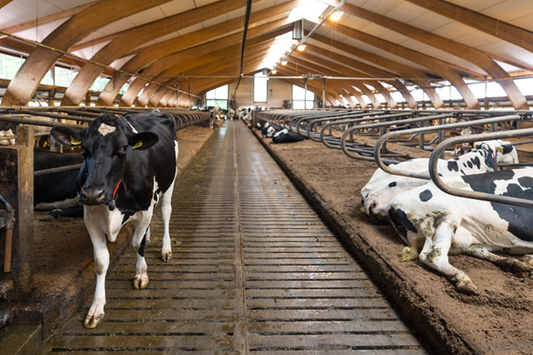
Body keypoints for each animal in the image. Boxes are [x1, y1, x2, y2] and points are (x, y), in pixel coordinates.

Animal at [50, 110, 178, 328]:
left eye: (124, 147)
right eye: (83, 148)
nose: (93, 193)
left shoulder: (145, 208)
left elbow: (136, 243)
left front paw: (141, 274)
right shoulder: (90, 215)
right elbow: (101, 261)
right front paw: (96, 308)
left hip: (170, 181)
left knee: (166, 211)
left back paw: (166, 249)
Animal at [386, 169, 532, 294]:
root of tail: (394, 202)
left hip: (460, 235)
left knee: (477, 250)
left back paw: (517, 265)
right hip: (446, 218)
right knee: (432, 256)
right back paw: (464, 280)